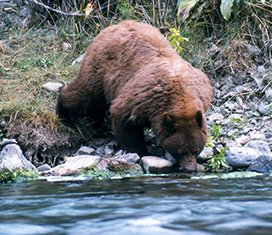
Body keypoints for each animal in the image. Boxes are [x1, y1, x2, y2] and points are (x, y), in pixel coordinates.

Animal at [55, 20, 212, 173]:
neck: (180, 95)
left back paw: (100, 126)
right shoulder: (144, 98)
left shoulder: (202, 94)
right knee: (86, 93)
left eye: (196, 150)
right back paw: (64, 115)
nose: (190, 169)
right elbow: (123, 117)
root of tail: (115, 25)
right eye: (181, 151)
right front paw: (140, 152)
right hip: (100, 66)